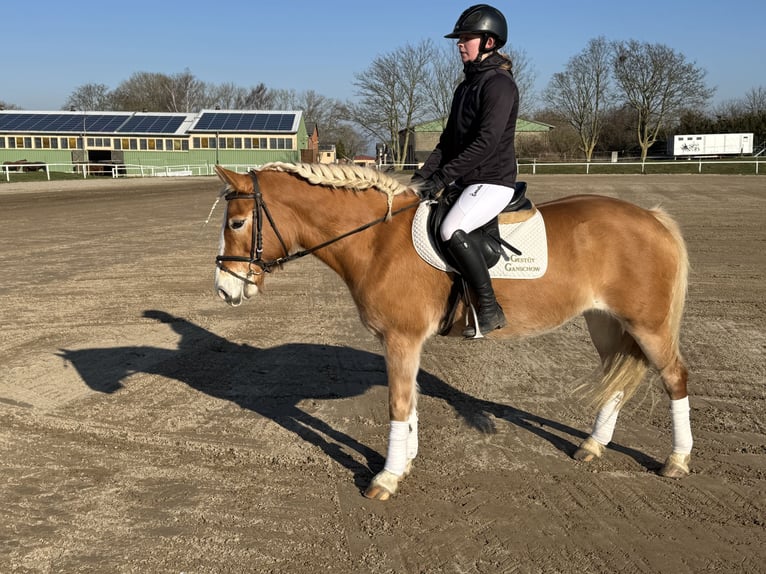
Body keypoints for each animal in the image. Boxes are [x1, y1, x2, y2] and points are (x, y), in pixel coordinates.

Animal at [213, 161, 692, 500]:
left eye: (236, 223)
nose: (224, 288)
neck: (379, 240)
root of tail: (651, 217)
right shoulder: (403, 342)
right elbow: (410, 402)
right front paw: (404, 464)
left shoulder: (401, 338)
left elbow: (398, 403)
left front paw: (386, 478)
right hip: (605, 322)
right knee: (616, 380)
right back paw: (593, 445)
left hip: (647, 325)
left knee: (674, 378)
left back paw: (677, 460)